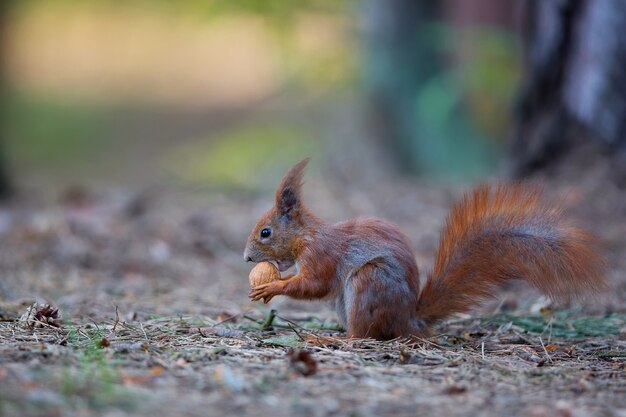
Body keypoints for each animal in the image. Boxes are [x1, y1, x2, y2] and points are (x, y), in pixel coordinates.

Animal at [244, 158, 604, 338]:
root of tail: (408, 321)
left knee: (365, 335)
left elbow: (315, 285)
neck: (306, 236)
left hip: (369, 282)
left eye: (266, 232)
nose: (247, 258)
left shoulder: (322, 254)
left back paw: (333, 339)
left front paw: (272, 287)